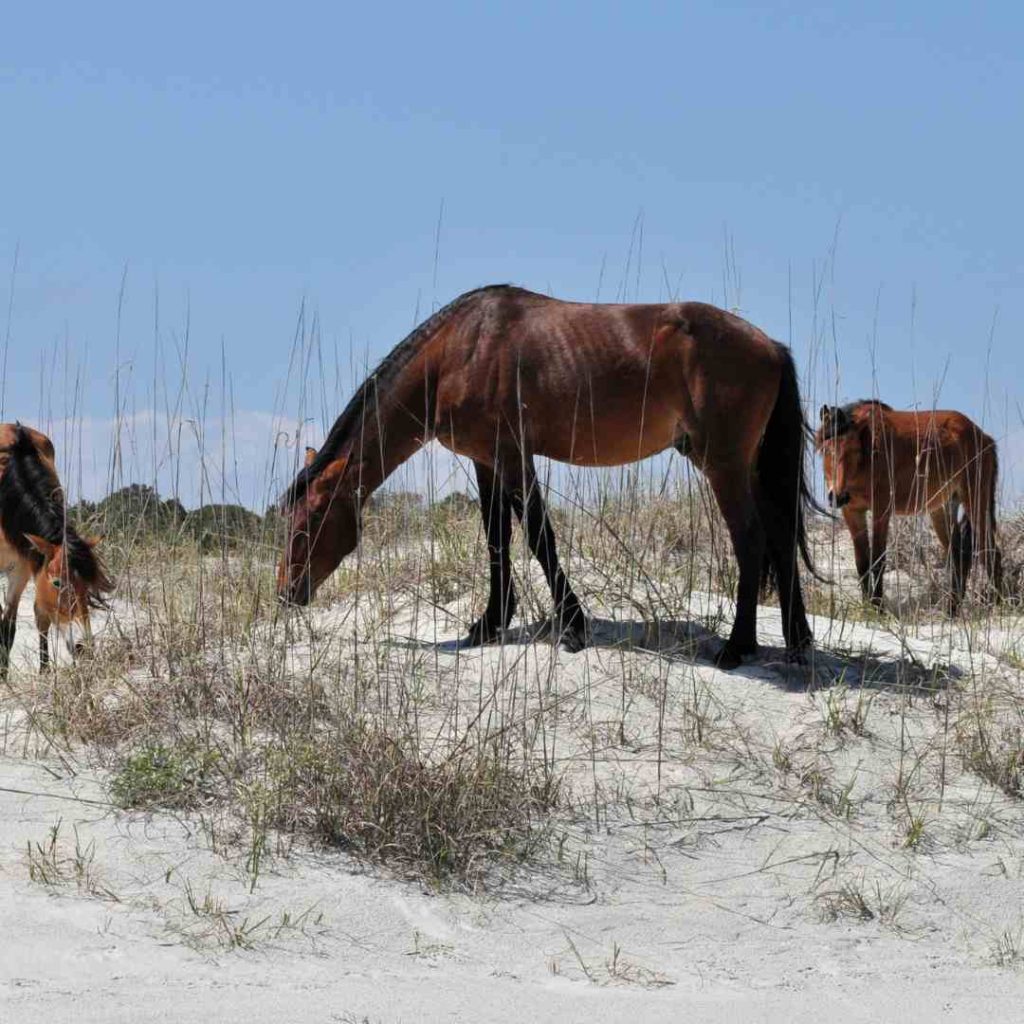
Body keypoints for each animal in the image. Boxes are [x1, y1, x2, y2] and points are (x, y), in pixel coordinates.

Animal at [276, 284, 819, 667]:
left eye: (309, 523)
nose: (286, 592)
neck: (458, 353)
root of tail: (770, 345)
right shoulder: (487, 461)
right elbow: (496, 540)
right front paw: (490, 623)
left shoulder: (515, 457)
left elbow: (539, 537)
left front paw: (573, 627)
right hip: (750, 466)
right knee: (779, 536)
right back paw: (796, 644)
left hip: (723, 464)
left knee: (751, 540)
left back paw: (737, 647)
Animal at [815, 397, 999, 606]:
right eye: (826, 449)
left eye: (854, 450)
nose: (838, 496)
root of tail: (985, 437)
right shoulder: (852, 512)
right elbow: (862, 563)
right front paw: (867, 606)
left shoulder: (881, 511)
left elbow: (878, 561)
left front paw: (878, 607)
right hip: (942, 509)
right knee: (958, 557)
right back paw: (952, 610)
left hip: (976, 503)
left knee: (990, 553)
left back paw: (998, 604)